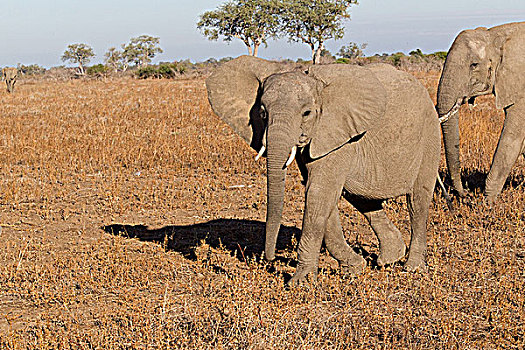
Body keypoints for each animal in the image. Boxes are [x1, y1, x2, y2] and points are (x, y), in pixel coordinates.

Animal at [205, 56, 438, 284]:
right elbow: (321, 195)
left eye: (307, 113)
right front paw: (354, 269)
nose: (268, 259)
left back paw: (412, 268)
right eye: (262, 113)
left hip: (429, 132)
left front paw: (301, 282)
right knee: (361, 197)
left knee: (417, 201)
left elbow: (319, 192)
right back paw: (389, 258)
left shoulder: (338, 133)